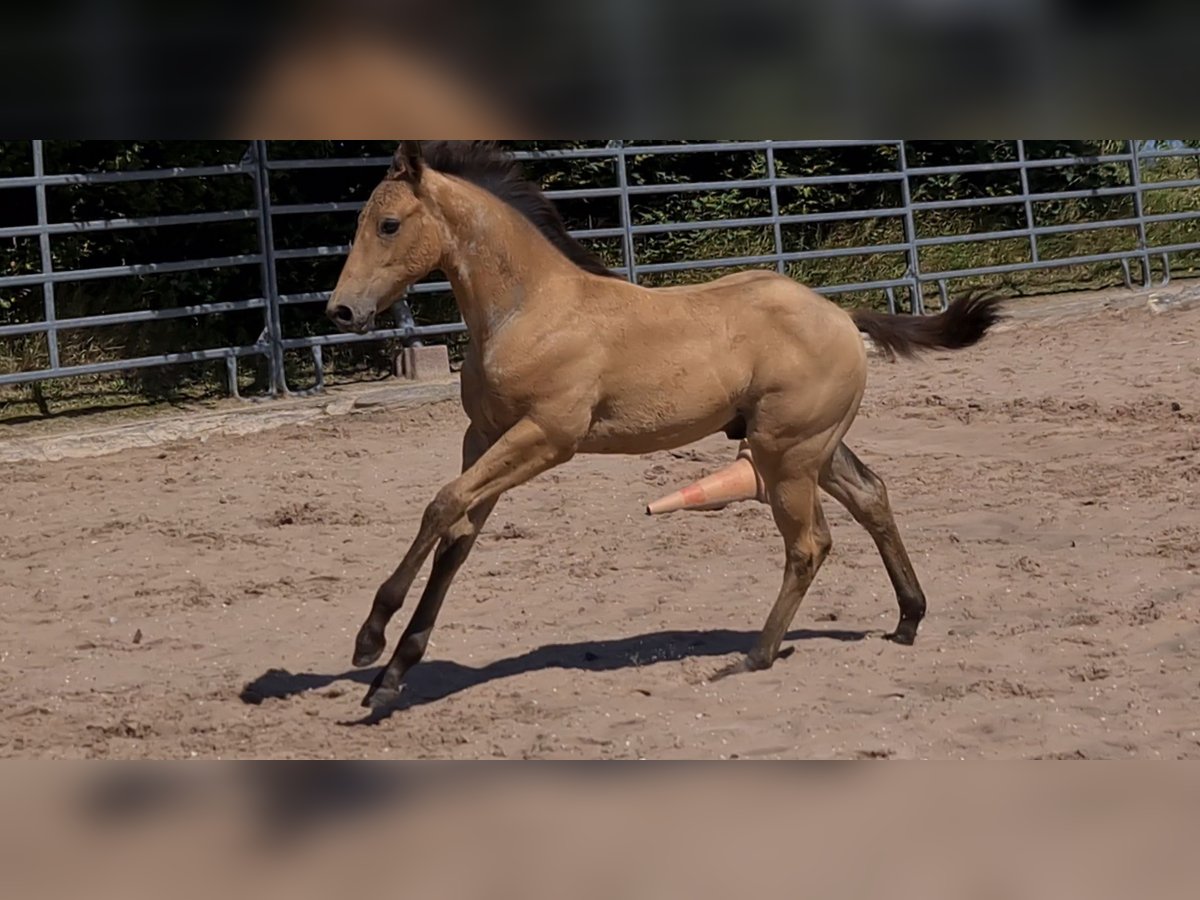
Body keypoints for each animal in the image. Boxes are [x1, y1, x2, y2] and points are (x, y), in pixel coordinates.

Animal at [324, 141, 998, 710]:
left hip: (785, 453)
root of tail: (840, 314)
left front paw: (369, 639)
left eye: (388, 224)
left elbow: (441, 505)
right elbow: (455, 539)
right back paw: (908, 619)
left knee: (810, 544)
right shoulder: (484, 437)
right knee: (871, 497)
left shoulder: (546, 438)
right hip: (812, 447)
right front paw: (391, 676)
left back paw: (754, 656)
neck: (531, 311)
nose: (341, 310)